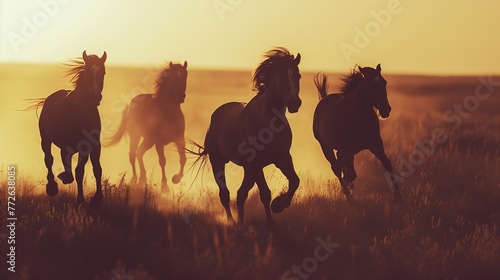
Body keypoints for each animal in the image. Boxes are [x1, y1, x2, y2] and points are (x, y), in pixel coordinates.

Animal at [26, 50, 106, 205]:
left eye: (103, 72)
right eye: (88, 72)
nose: (95, 97)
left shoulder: (92, 145)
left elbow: (93, 169)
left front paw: (96, 199)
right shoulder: (66, 147)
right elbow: (72, 172)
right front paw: (79, 198)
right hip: (45, 140)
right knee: (48, 159)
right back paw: (52, 187)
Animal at [104, 60, 188, 189]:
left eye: (185, 76)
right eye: (173, 76)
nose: (180, 97)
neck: (168, 112)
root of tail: (130, 105)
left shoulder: (179, 139)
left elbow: (183, 159)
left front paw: (176, 179)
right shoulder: (159, 142)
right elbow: (162, 161)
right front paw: (165, 186)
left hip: (148, 140)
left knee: (139, 153)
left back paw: (142, 179)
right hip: (136, 136)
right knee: (133, 154)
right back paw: (134, 179)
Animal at [190, 47, 300, 228]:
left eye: (298, 76)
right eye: (282, 76)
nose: (295, 103)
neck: (268, 122)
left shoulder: (283, 158)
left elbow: (295, 181)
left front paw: (279, 205)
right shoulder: (256, 163)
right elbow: (265, 193)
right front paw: (271, 223)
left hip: (247, 169)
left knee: (241, 193)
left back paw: (241, 223)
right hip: (218, 161)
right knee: (225, 194)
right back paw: (232, 222)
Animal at [314, 64, 404, 202]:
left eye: (384, 82)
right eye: (371, 84)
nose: (386, 109)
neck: (358, 116)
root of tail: (324, 99)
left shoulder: (376, 144)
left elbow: (387, 164)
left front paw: (398, 197)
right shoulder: (347, 150)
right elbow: (350, 175)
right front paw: (346, 192)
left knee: (339, 163)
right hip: (325, 146)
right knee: (336, 168)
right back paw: (347, 194)